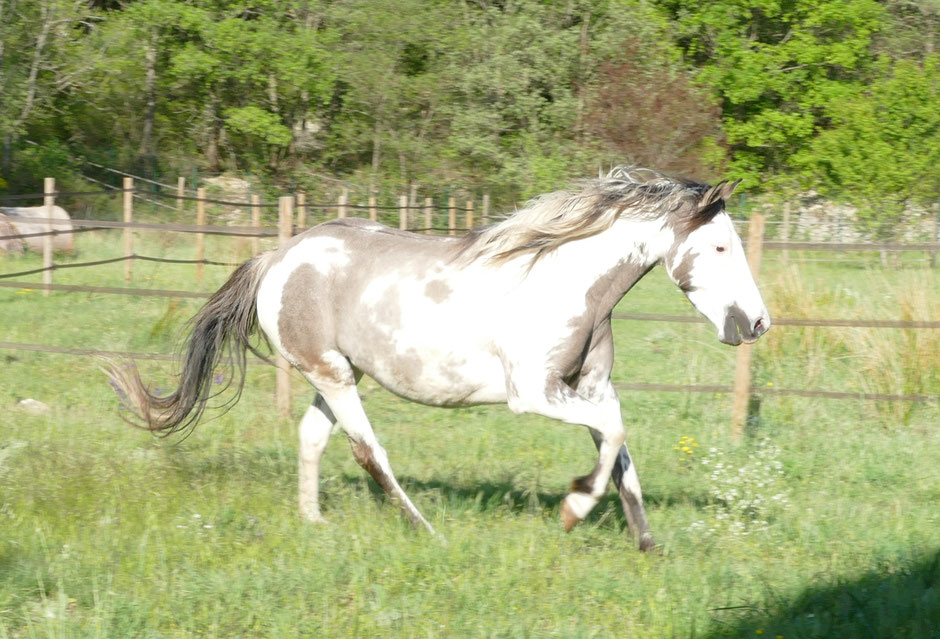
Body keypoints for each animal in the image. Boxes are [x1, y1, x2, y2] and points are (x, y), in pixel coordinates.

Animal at [110, 169, 772, 552]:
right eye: (719, 247)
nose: (758, 322)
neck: (563, 282)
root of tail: (277, 257)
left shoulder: (593, 386)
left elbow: (620, 451)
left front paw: (646, 543)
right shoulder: (534, 393)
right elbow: (612, 437)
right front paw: (573, 509)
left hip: (338, 372)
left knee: (312, 437)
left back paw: (314, 522)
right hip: (332, 374)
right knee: (368, 451)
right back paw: (424, 530)